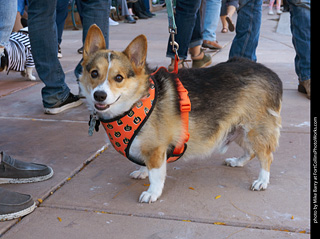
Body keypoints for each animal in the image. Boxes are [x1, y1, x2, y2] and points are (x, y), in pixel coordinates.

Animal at [80, 24, 282, 204]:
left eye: (119, 78)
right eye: (94, 73)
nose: (99, 95)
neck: (134, 103)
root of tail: (272, 74)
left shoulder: (156, 150)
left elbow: (156, 174)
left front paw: (152, 193)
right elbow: (145, 164)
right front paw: (142, 171)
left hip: (254, 130)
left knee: (266, 156)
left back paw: (262, 181)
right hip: (238, 130)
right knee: (251, 152)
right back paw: (237, 162)